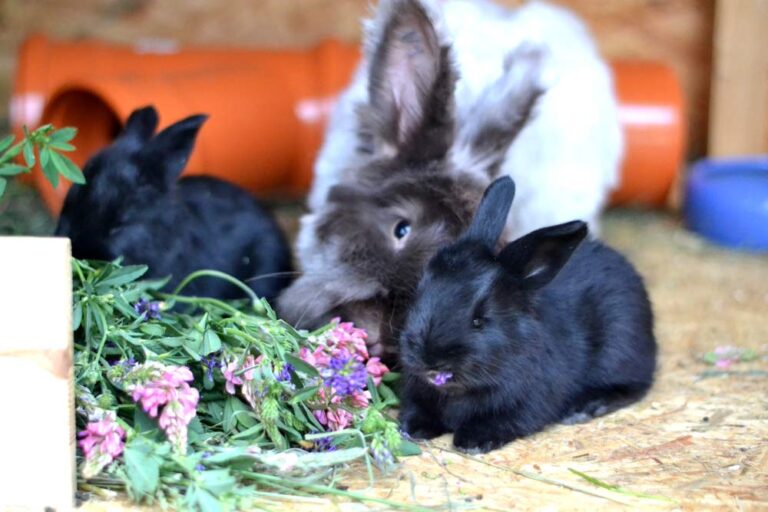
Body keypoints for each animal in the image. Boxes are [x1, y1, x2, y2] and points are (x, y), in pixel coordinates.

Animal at [396, 176, 656, 452]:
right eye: (419, 296)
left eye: (479, 321)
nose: (429, 359)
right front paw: (412, 428)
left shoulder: (528, 403)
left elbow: (505, 421)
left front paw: (473, 442)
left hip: (619, 351)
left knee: (635, 387)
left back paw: (586, 408)